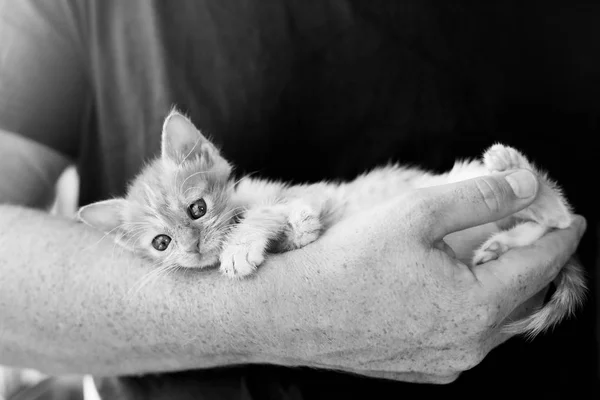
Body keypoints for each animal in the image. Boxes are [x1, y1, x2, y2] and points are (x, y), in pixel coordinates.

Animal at [77, 108, 584, 338]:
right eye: (161, 243)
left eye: (197, 210)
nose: (192, 247)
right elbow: (293, 230)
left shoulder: (311, 194)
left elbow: (272, 212)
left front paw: (241, 243)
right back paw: (502, 244)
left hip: (476, 181)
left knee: (559, 213)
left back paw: (514, 170)